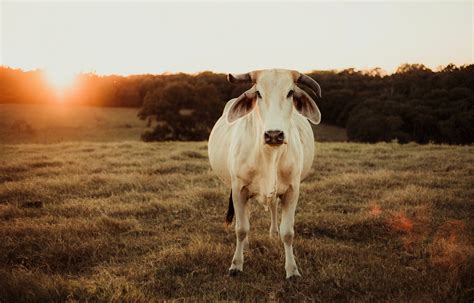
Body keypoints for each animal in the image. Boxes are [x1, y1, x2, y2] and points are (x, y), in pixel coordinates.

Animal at [208, 69, 322, 280]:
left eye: (290, 93)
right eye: (258, 93)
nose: (274, 134)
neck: (269, 155)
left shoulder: (292, 191)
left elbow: (288, 232)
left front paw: (292, 270)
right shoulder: (239, 189)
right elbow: (241, 229)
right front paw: (236, 265)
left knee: (273, 207)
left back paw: (273, 233)